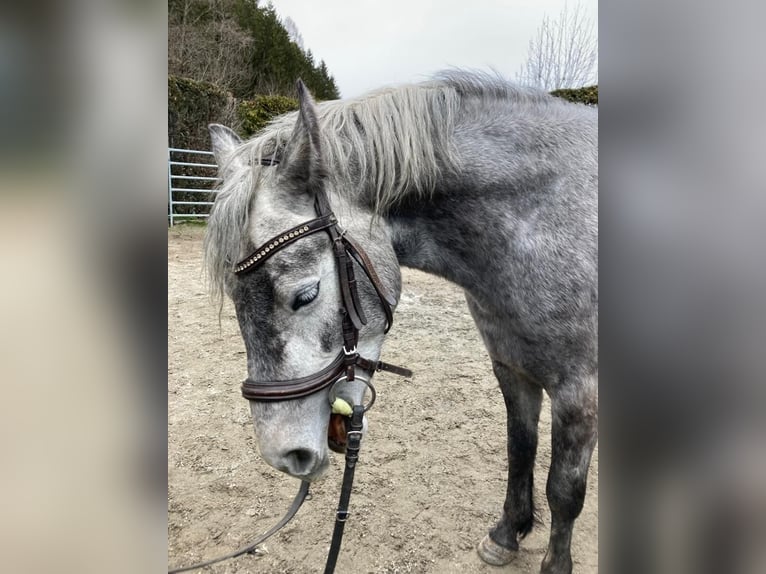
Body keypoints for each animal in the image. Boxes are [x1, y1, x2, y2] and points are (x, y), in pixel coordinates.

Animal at [204, 72, 600, 574]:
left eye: (305, 295)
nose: (284, 455)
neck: (544, 220)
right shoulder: (512, 371)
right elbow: (519, 450)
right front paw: (506, 534)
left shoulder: (578, 391)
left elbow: (565, 490)